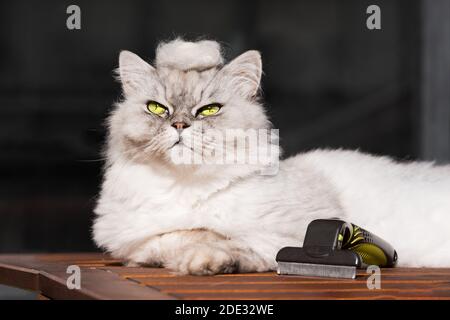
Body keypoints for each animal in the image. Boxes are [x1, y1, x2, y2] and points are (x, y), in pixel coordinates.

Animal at [92, 38, 450, 274]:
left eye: (209, 110)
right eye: (157, 108)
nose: (179, 125)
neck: (185, 187)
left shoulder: (288, 234)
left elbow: (223, 240)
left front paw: (206, 262)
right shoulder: (130, 237)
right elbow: (171, 238)